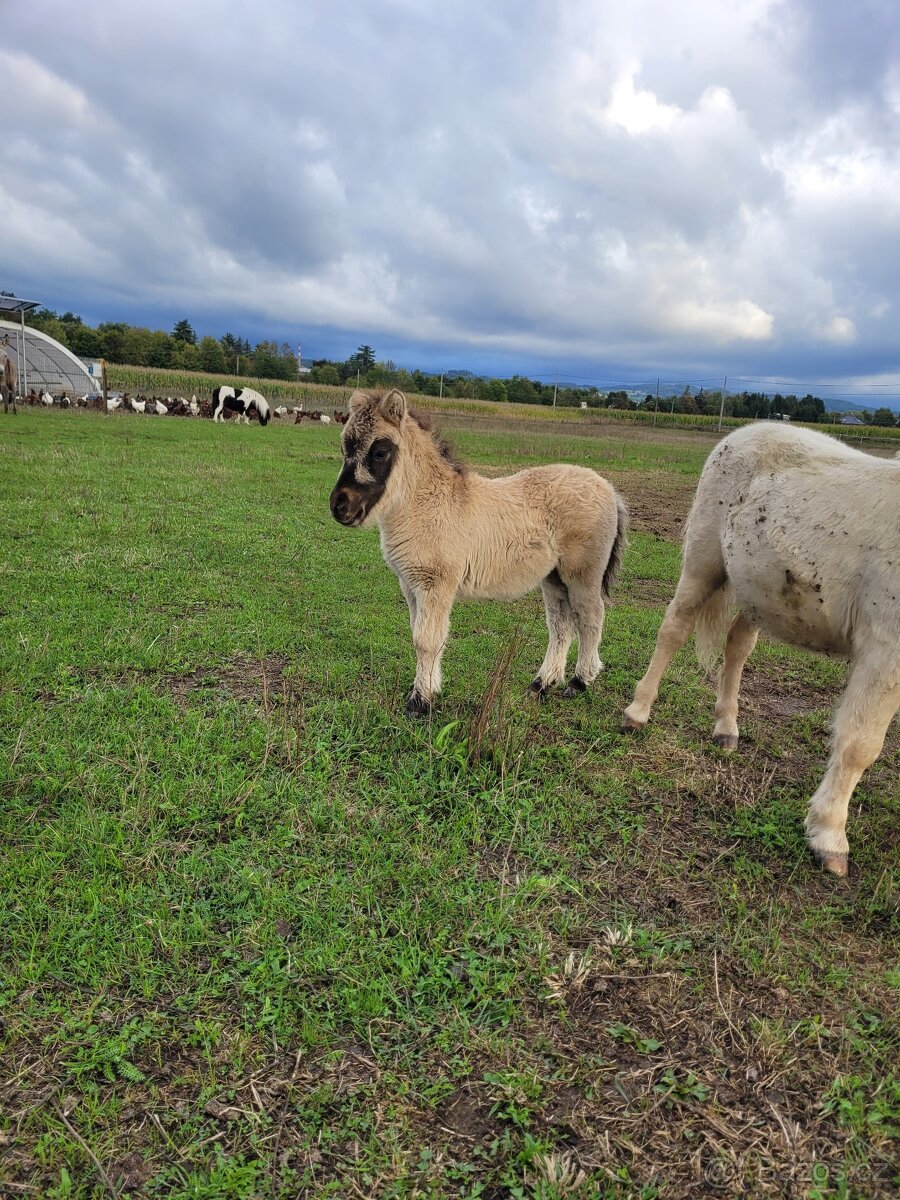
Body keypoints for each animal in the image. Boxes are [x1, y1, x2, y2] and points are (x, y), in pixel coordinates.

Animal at [330, 389, 628, 715]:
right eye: (345, 445)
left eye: (380, 452)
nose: (339, 506)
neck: (430, 504)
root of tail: (610, 490)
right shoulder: (410, 585)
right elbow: (419, 635)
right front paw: (428, 691)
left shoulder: (436, 584)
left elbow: (427, 640)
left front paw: (420, 702)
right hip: (554, 578)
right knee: (561, 626)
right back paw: (542, 684)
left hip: (582, 575)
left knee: (590, 619)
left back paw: (579, 682)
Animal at [622, 422, 900, 876]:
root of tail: (743, 432)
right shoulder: (885, 650)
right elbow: (859, 745)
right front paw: (829, 837)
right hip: (704, 561)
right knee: (674, 627)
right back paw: (638, 712)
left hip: (759, 591)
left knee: (737, 646)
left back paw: (726, 728)